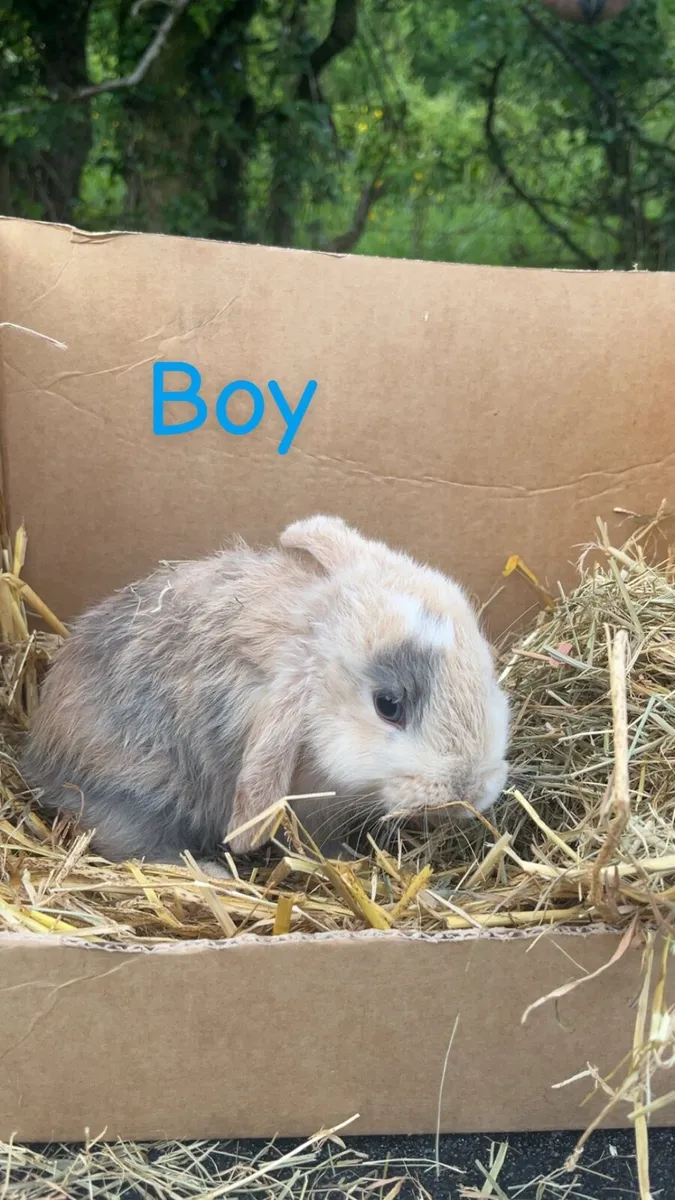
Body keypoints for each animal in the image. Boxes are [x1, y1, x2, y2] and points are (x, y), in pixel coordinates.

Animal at [20, 515, 510, 873]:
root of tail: (38, 750)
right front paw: (343, 861)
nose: (470, 789)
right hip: (134, 798)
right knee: (134, 845)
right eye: (388, 706)